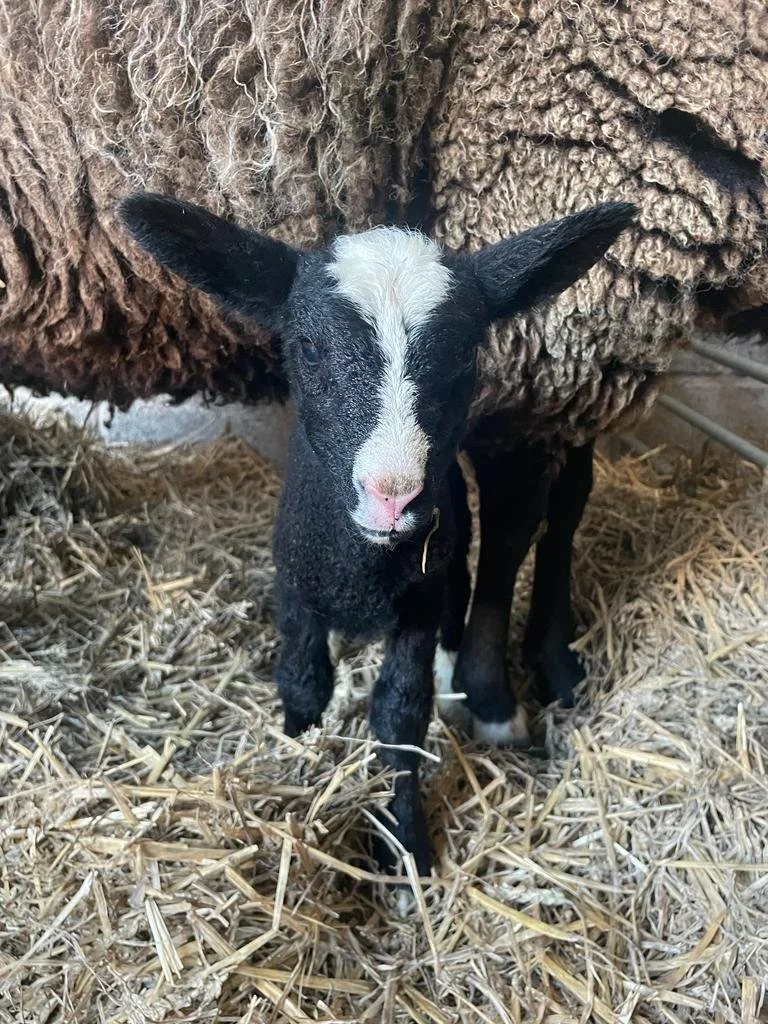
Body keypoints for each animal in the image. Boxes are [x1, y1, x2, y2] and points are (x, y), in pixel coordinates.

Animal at [120, 191, 637, 873]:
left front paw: (407, 843)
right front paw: (299, 766)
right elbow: (303, 685)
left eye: (466, 352)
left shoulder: (417, 604)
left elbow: (400, 715)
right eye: (310, 349)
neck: (363, 565)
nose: (392, 498)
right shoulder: (295, 588)